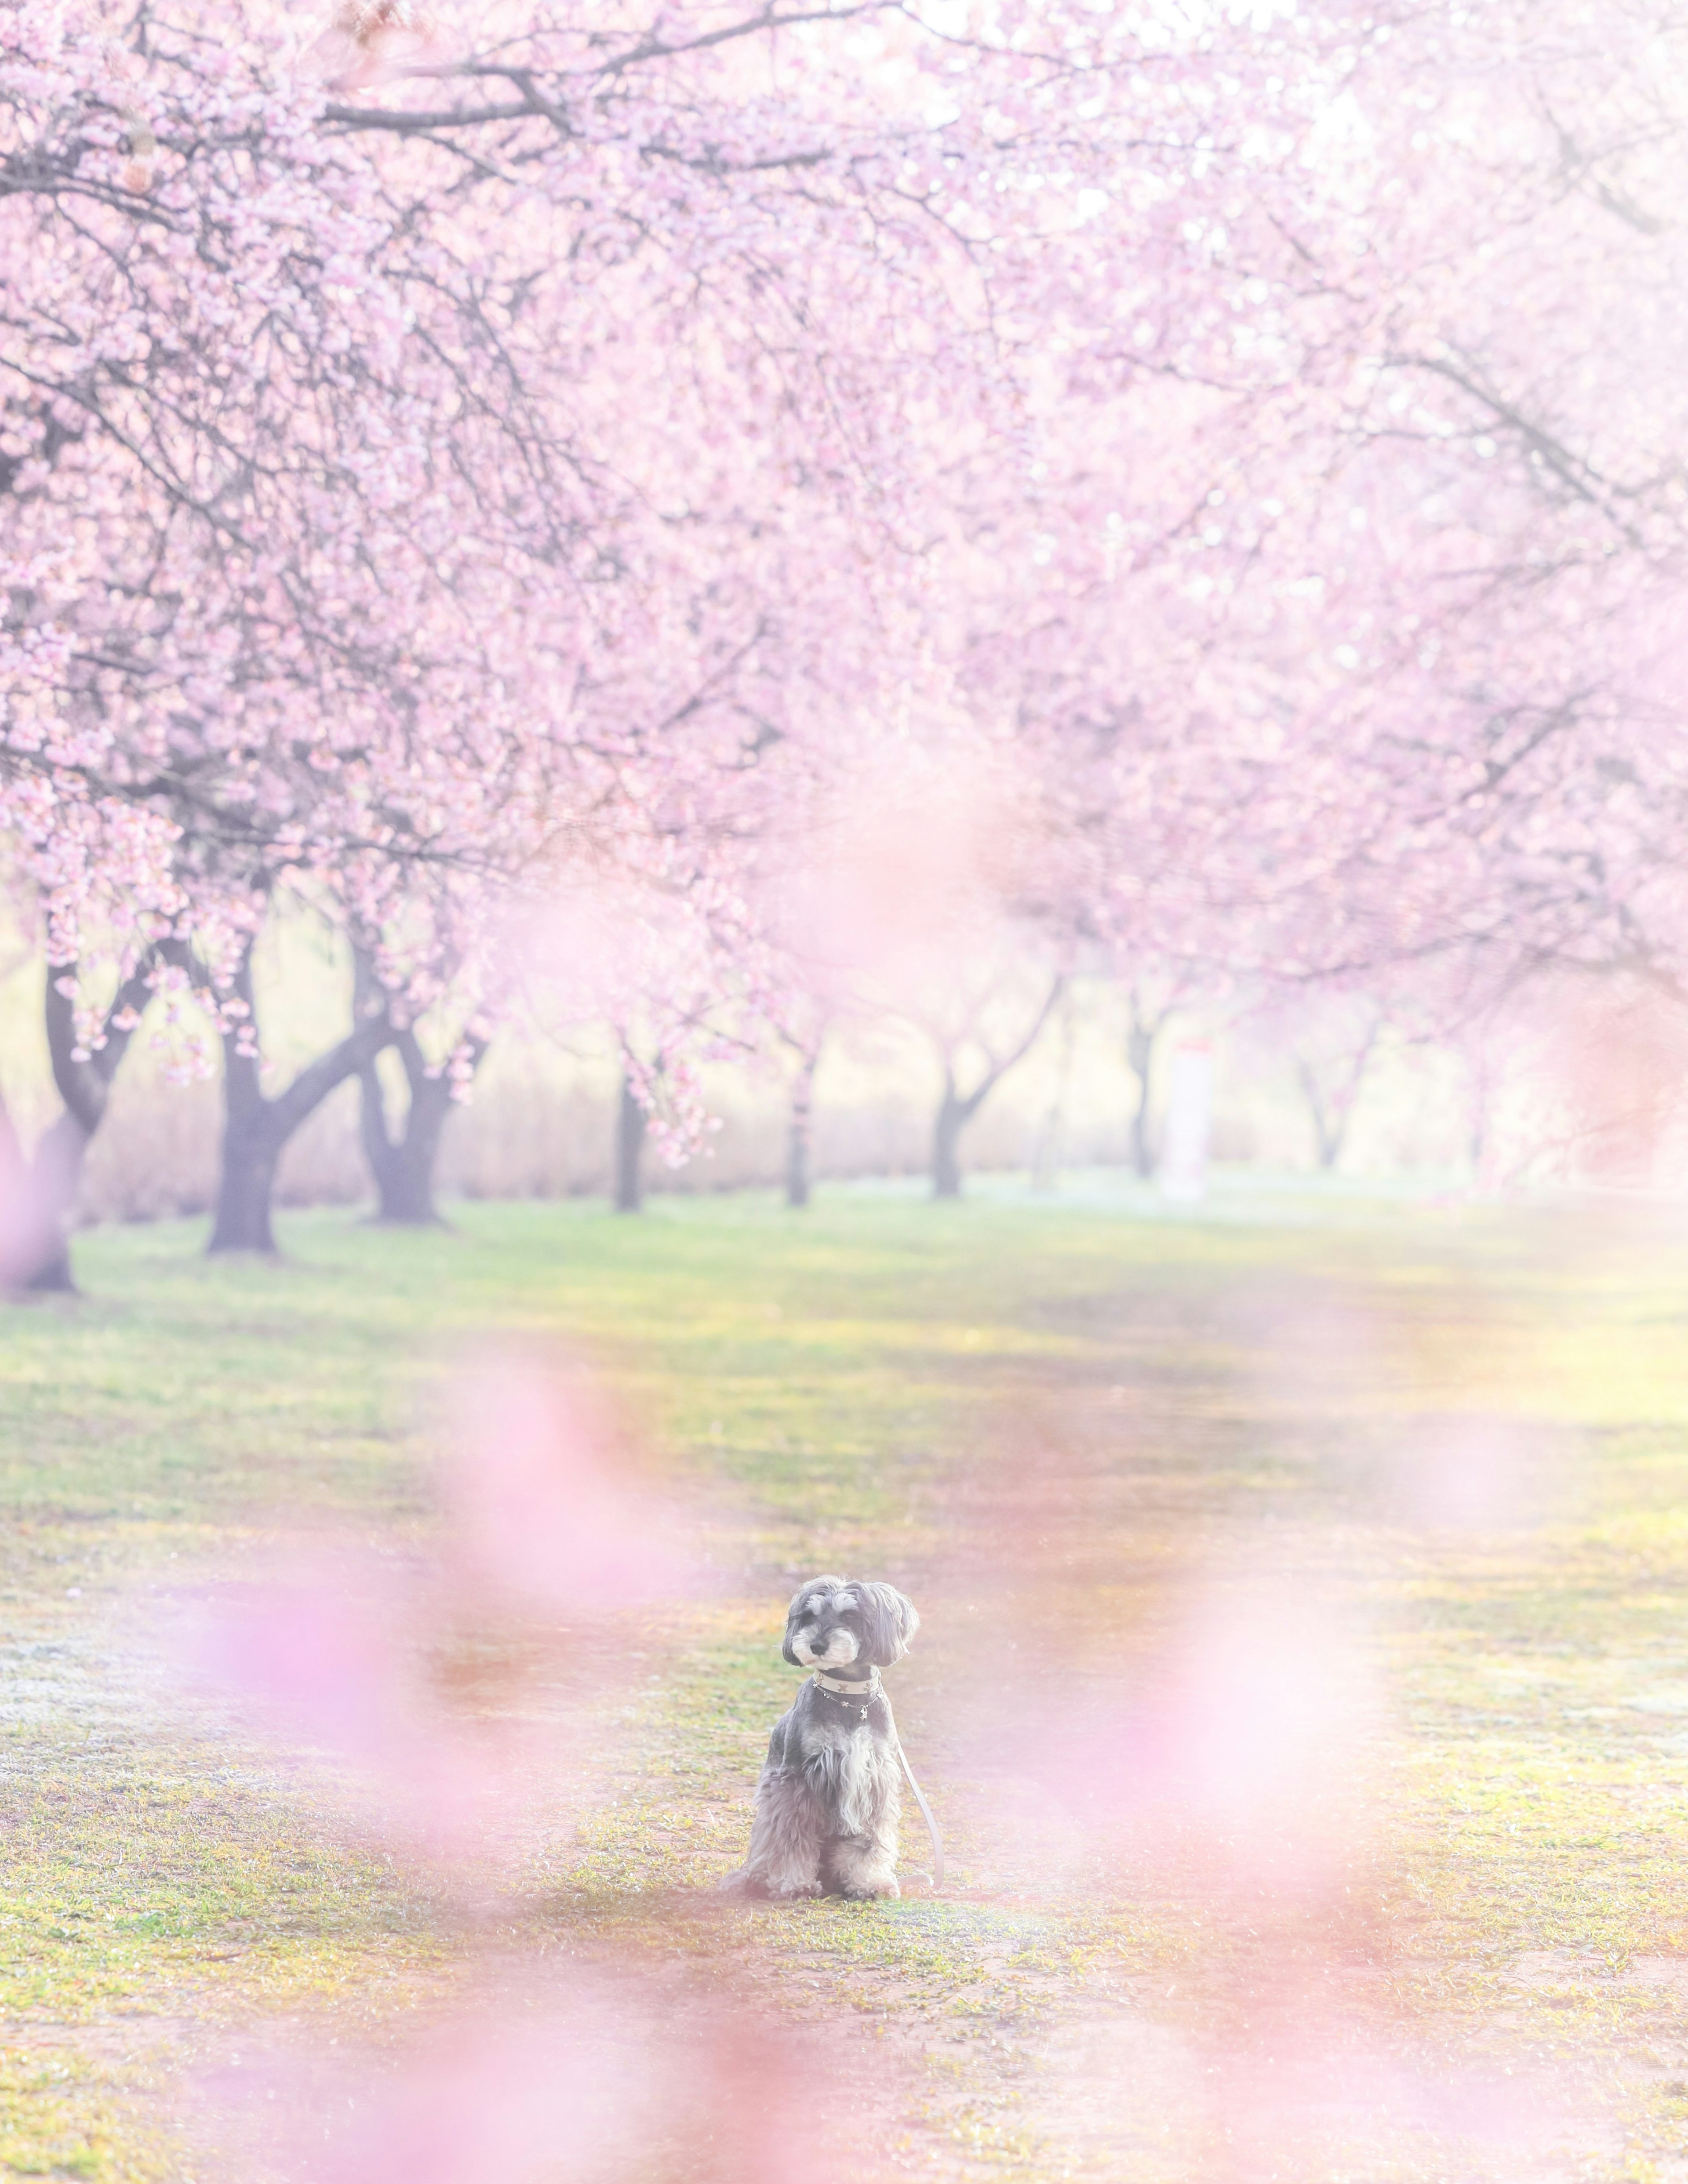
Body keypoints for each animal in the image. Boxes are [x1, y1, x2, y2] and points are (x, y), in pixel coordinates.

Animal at [720, 1572, 917, 1896]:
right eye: (809, 1616)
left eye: (849, 1615)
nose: (816, 1645)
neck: (848, 1698)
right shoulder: (795, 1779)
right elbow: (791, 1838)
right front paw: (794, 1883)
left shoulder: (876, 1777)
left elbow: (870, 1839)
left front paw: (869, 1882)